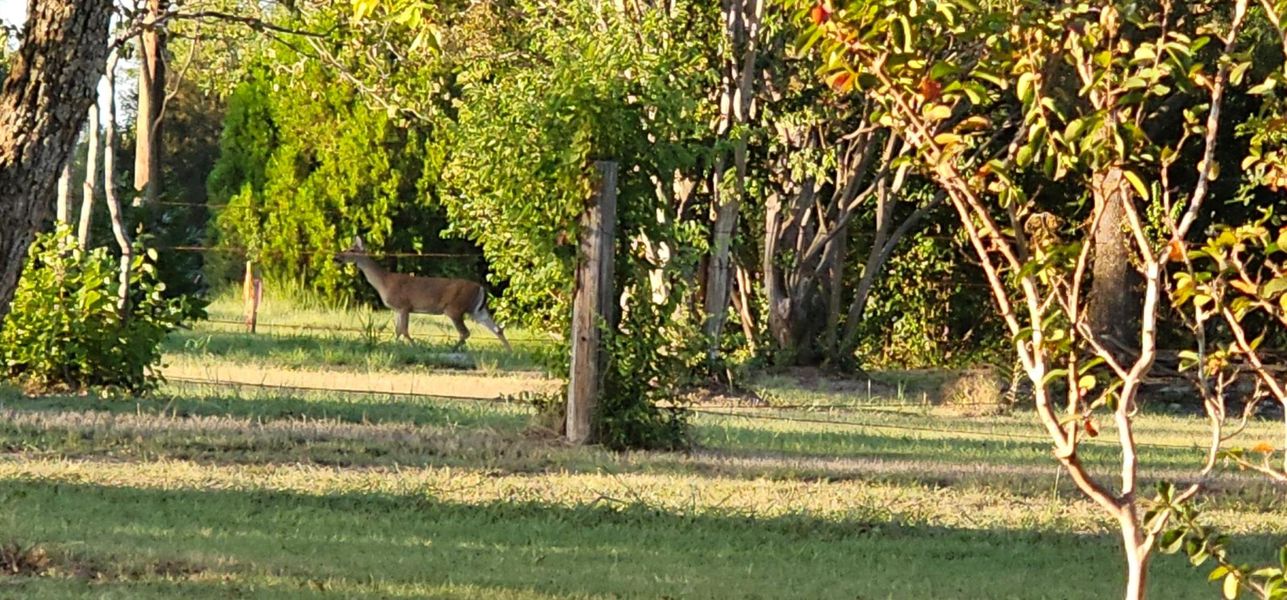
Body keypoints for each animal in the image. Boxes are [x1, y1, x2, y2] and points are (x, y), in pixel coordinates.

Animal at [335, 236, 511, 351]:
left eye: (351, 249)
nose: (336, 257)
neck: (384, 281)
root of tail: (481, 288)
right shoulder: (397, 309)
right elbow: (398, 330)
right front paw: (392, 345)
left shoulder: (404, 305)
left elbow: (404, 331)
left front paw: (414, 346)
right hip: (477, 310)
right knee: (497, 328)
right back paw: (510, 352)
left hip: (455, 308)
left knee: (465, 332)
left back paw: (450, 349)